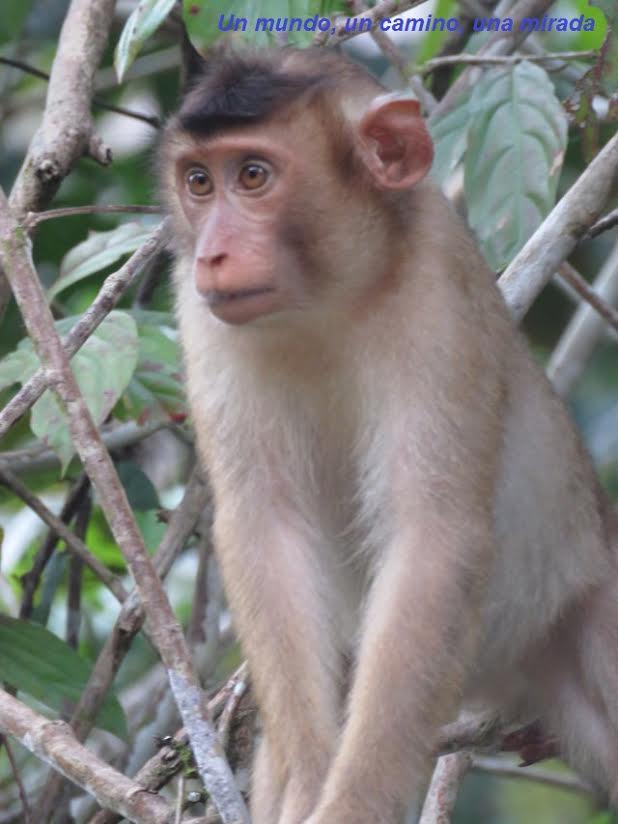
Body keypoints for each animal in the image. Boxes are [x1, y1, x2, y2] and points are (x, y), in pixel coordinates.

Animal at [159, 44, 618, 823]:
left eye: (252, 175)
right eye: (198, 181)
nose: (211, 253)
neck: (329, 299)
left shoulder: (436, 296)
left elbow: (432, 536)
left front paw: (354, 805)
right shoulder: (200, 316)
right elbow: (265, 526)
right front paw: (309, 780)